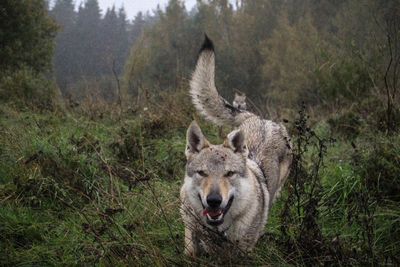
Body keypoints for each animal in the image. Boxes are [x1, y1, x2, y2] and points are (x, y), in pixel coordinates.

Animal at [180, 35, 292, 258]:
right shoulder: (190, 223)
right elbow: (190, 248)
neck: (219, 230)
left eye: (229, 173)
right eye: (202, 173)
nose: (214, 200)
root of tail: (257, 118)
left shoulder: (244, 251)